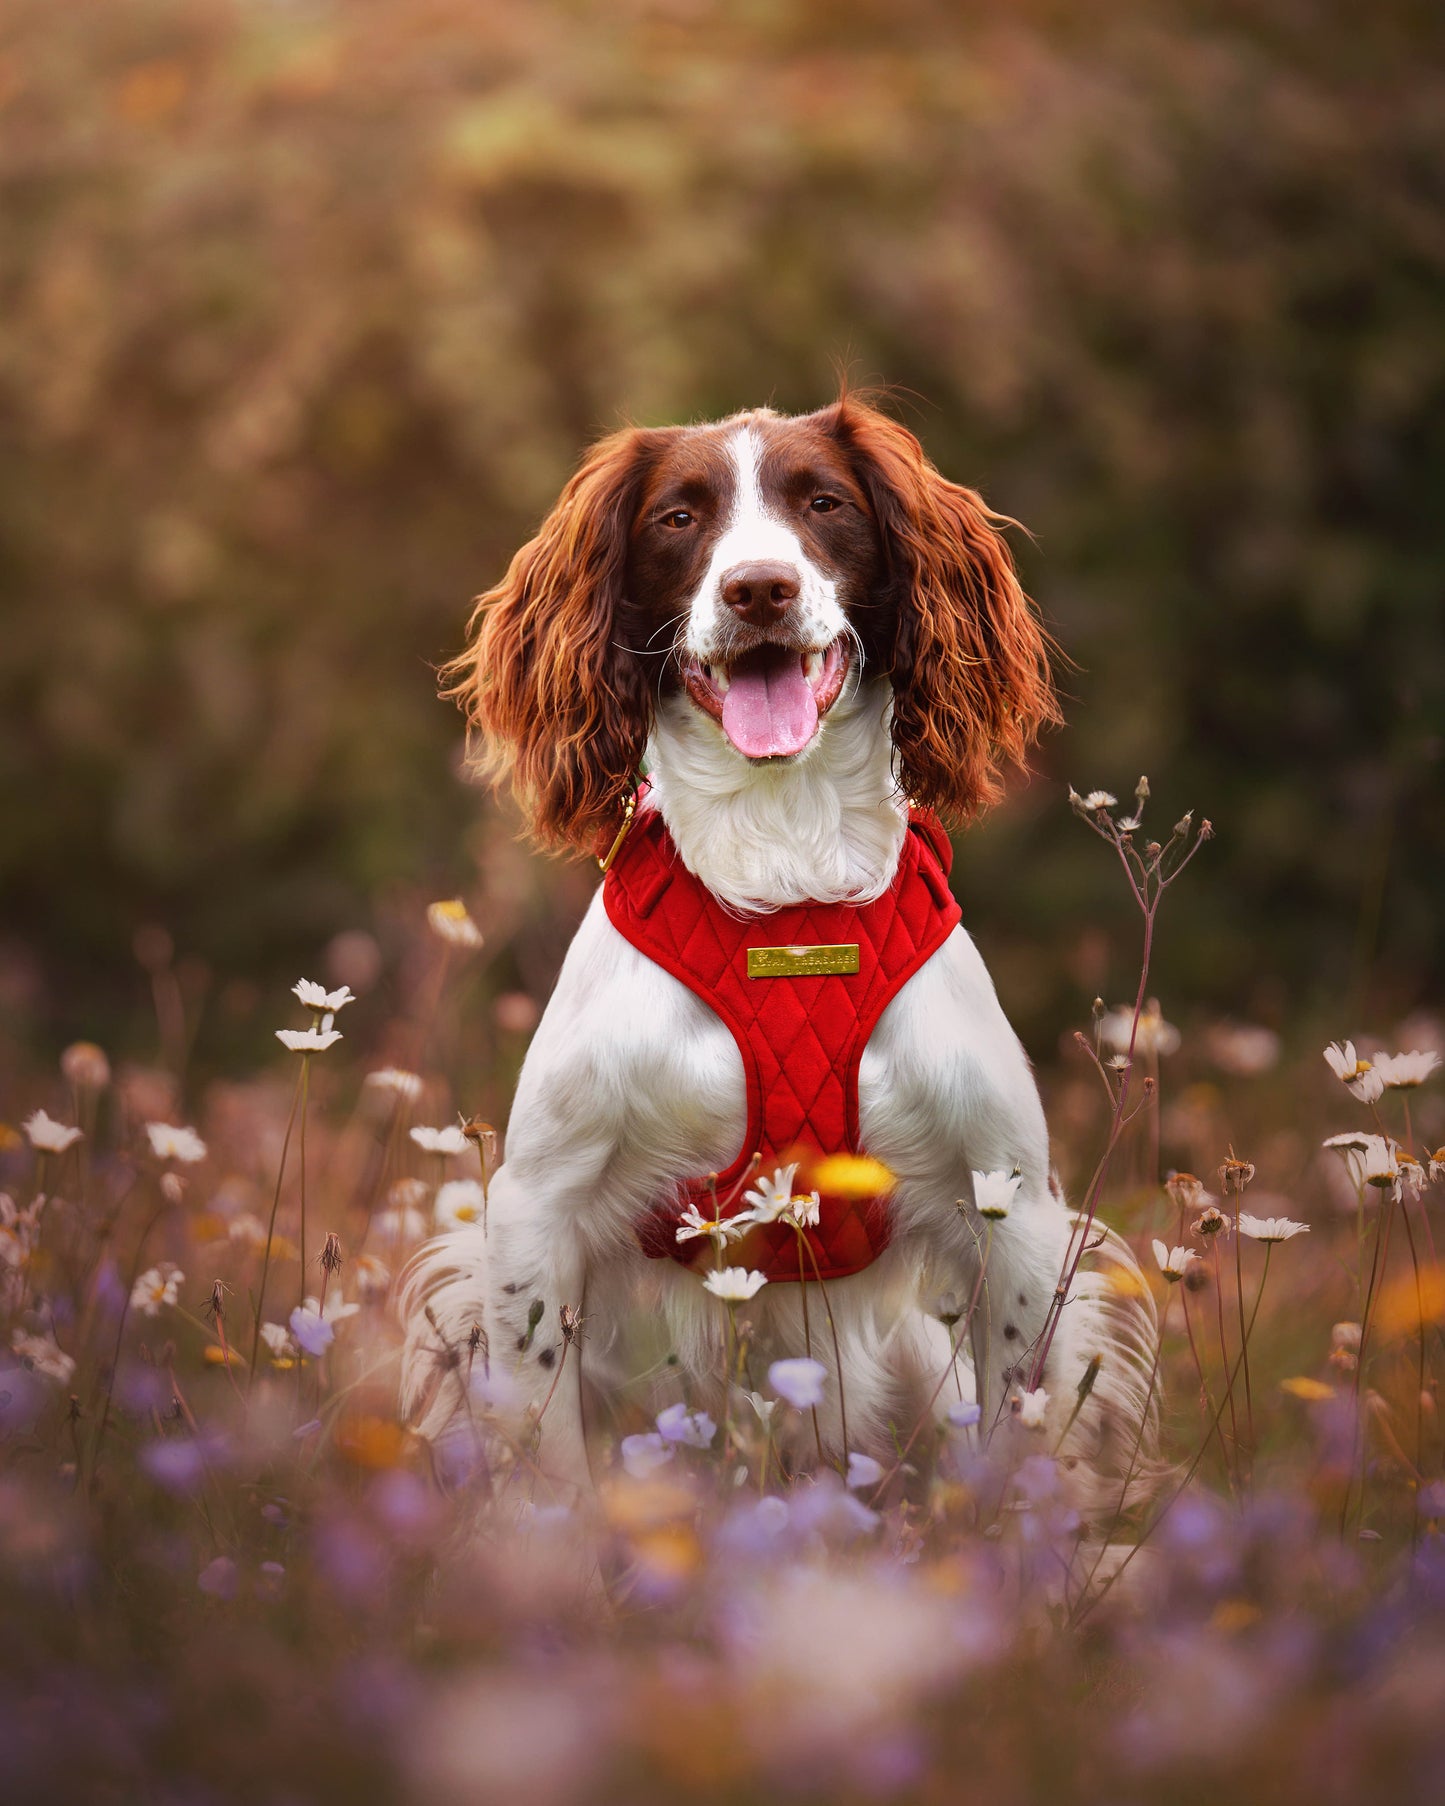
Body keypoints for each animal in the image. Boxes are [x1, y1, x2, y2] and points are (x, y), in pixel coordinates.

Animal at [400, 399, 1156, 1524]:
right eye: (678, 517)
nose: (759, 587)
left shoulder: (1011, 1206)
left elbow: (1020, 1450)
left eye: (824, 504)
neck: (783, 877)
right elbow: (549, 1467)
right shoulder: (534, 1213)